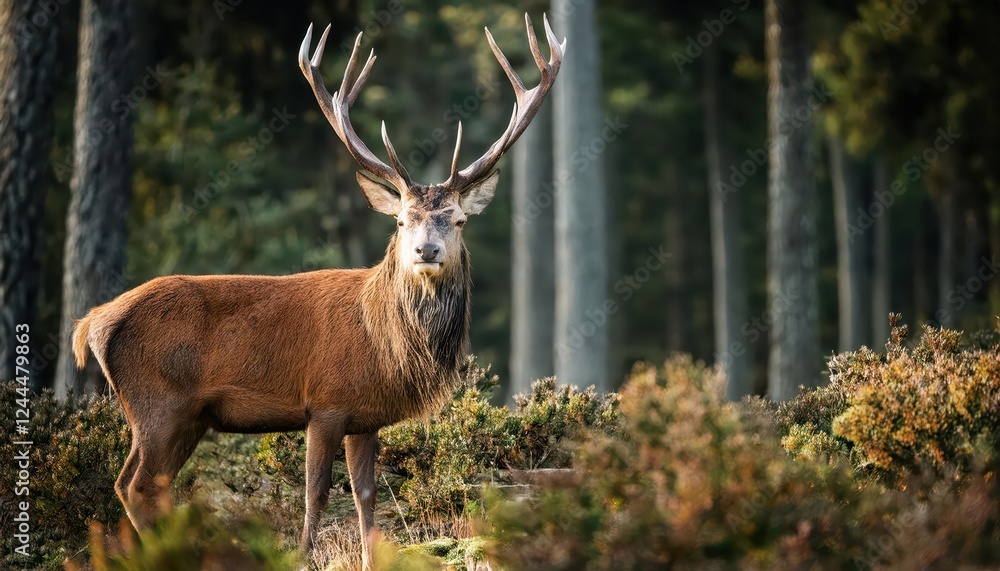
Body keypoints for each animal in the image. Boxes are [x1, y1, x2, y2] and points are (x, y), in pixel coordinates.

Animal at [70, 13, 564, 569]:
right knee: (132, 484)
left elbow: (367, 497)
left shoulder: (365, 416)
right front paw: (303, 554)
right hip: (158, 401)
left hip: (186, 415)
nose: (426, 250)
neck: (387, 343)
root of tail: (92, 323)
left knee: (149, 485)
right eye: (400, 220)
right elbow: (316, 494)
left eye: (457, 219)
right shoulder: (324, 402)